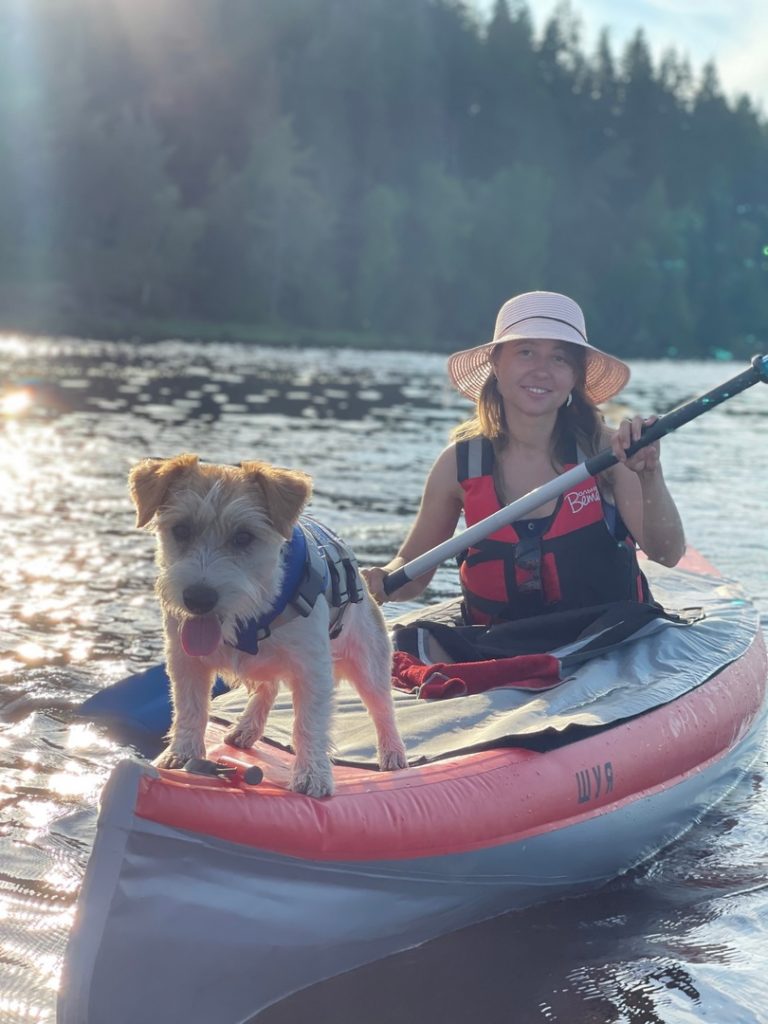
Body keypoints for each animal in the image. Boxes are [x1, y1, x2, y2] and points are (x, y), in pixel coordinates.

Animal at [131, 456, 409, 798]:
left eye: (244, 537)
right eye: (181, 529)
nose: (198, 598)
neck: (255, 612)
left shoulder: (312, 669)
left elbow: (309, 724)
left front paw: (312, 774)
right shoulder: (185, 661)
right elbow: (190, 708)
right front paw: (182, 754)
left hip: (368, 663)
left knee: (382, 707)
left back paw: (393, 753)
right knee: (268, 687)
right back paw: (246, 728)